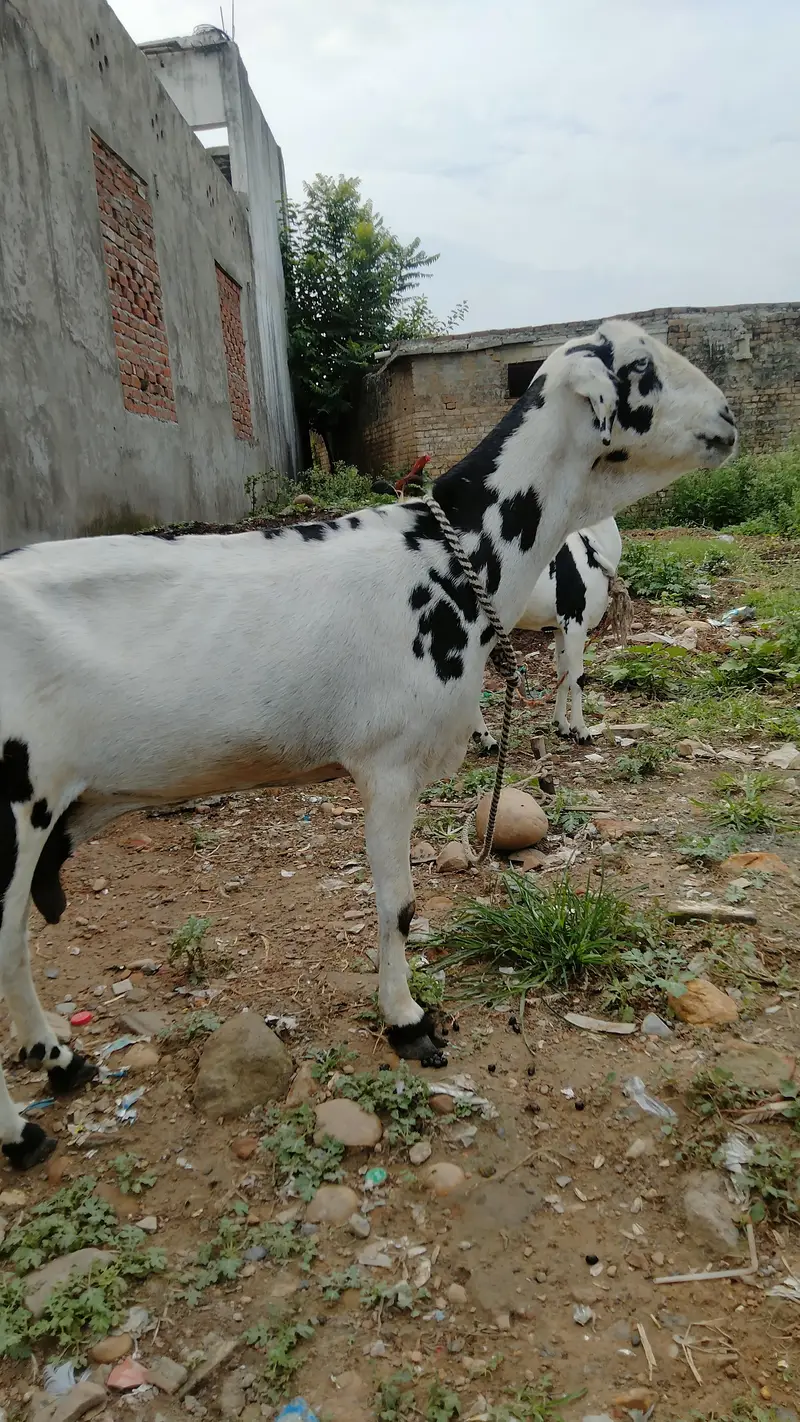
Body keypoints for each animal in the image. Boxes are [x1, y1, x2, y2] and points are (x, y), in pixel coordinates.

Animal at [471, 516, 624, 749]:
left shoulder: (560, 629)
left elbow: (563, 675)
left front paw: (561, 725)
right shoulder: (575, 622)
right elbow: (578, 678)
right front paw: (581, 730)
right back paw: (486, 739)